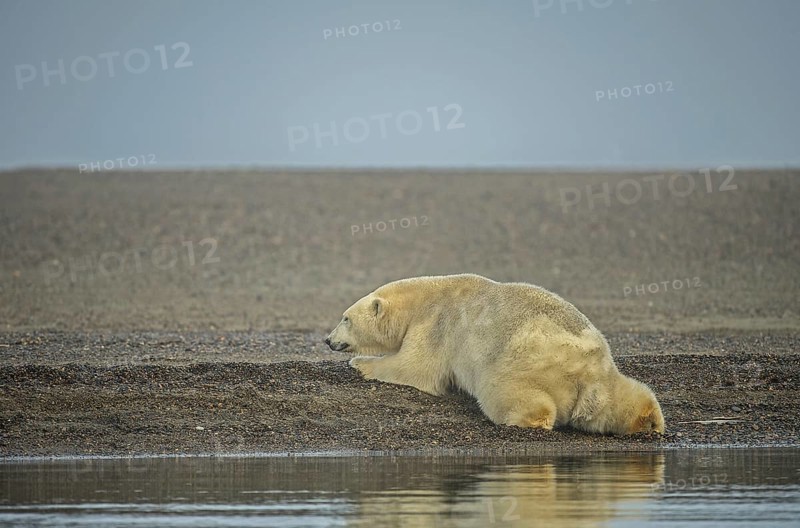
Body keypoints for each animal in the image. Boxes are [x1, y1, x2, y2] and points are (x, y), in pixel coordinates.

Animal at [324, 274, 664, 436]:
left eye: (345, 318)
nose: (328, 340)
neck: (424, 296)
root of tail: (583, 362)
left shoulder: (436, 323)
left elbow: (415, 368)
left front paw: (360, 364)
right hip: (603, 375)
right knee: (624, 398)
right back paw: (649, 421)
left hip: (518, 362)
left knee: (507, 393)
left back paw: (529, 420)